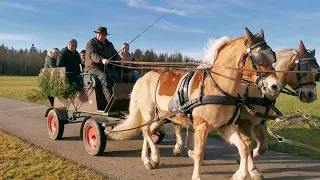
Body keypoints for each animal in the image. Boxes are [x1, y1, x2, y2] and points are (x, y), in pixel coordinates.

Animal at [107, 27, 280, 180]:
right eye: (257, 58)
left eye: (273, 57)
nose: (275, 85)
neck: (217, 86)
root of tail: (144, 76)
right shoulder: (202, 126)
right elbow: (199, 152)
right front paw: (196, 176)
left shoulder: (225, 126)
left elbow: (244, 148)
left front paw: (240, 175)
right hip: (149, 111)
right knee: (145, 130)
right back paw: (154, 156)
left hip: (160, 116)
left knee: (147, 131)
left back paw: (148, 160)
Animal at [186, 40, 318, 179]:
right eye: (302, 70)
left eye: (316, 71)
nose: (311, 95)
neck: (259, 91)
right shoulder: (244, 121)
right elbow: (248, 145)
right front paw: (251, 170)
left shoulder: (259, 123)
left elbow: (262, 147)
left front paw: (242, 161)